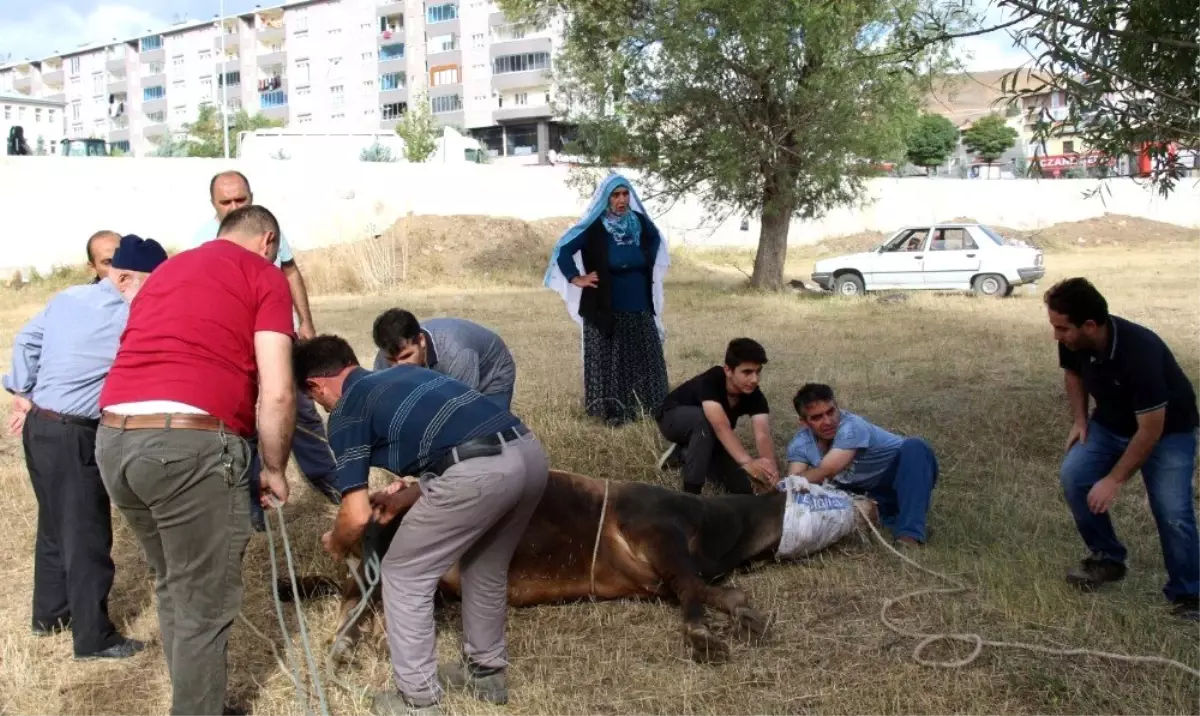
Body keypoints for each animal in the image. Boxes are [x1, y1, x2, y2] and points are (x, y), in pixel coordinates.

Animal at [285, 470, 878, 666]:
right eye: (825, 490)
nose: (872, 502)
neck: (714, 525)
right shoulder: (660, 538)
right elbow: (694, 594)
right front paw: (710, 634)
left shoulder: (656, 579)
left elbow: (702, 591)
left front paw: (740, 612)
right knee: (364, 601)